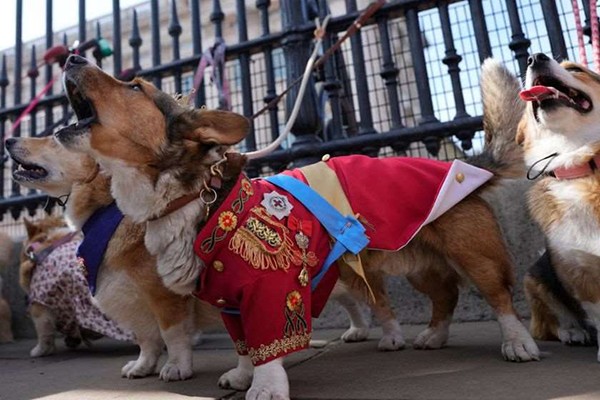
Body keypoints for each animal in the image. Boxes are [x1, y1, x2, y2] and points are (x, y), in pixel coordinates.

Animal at [5, 136, 220, 380]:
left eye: (56, 138)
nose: (8, 140)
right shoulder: (134, 299)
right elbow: (146, 338)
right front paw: (142, 366)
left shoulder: (165, 295)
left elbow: (173, 335)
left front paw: (176, 367)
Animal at [54, 55, 536, 400]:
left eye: (135, 87)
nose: (72, 55)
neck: (195, 197)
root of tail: (470, 165)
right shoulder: (229, 301)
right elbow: (244, 344)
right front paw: (242, 375)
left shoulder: (269, 289)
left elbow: (264, 341)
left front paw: (265, 387)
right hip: (419, 263)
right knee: (445, 295)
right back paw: (434, 336)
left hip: (474, 254)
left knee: (498, 296)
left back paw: (518, 344)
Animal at [516, 53, 600, 360]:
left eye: (575, 69)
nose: (534, 57)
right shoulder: (581, 276)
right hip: (535, 277)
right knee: (551, 324)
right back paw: (573, 332)